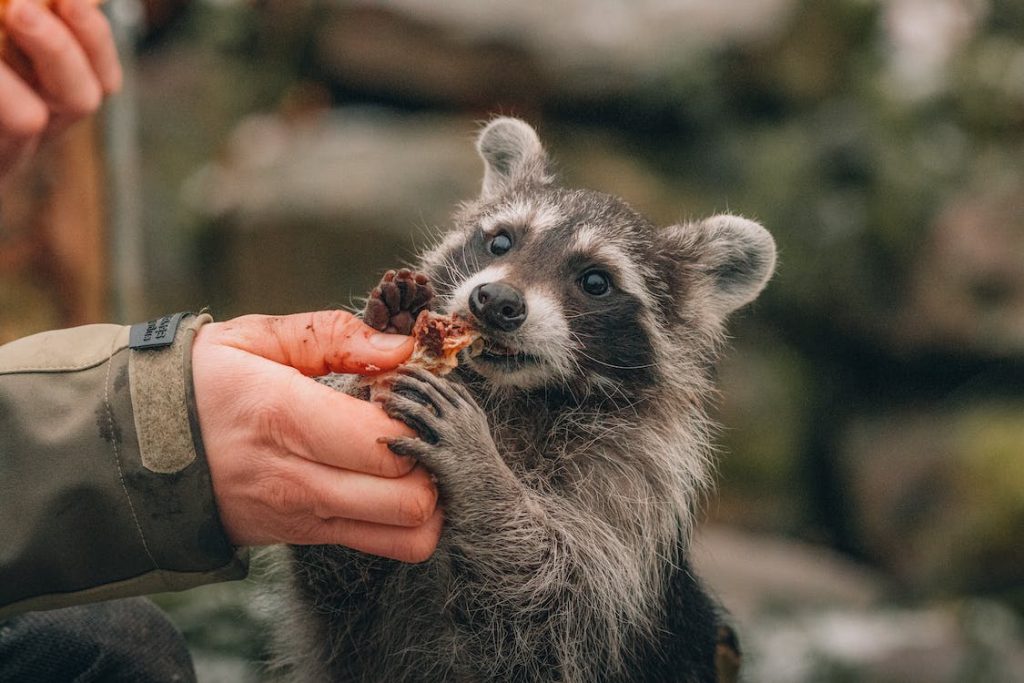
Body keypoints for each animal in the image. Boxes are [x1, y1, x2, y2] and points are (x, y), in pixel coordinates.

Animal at [274, 118, 774, 683]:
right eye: (500, 241)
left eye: (596, 281)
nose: (496, 301)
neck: (513, 398)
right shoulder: (348, 628)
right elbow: (335, 570)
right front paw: (377, 357)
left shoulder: (631, 500)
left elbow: (560, 604)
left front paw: (482, 473)